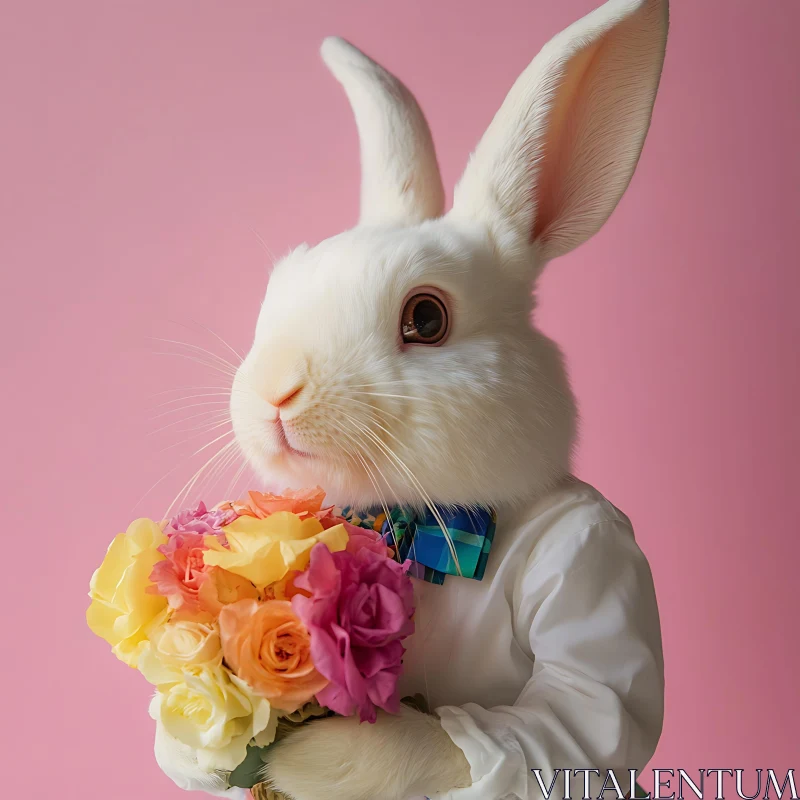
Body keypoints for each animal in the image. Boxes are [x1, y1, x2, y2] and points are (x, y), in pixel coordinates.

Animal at [155, 1, 668, 800]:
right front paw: (193, 740)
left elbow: (575, 720)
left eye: (426, 318)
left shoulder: (590, 562)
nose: (274, 389)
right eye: (278, 290)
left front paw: (322, 760)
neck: (416, 522)